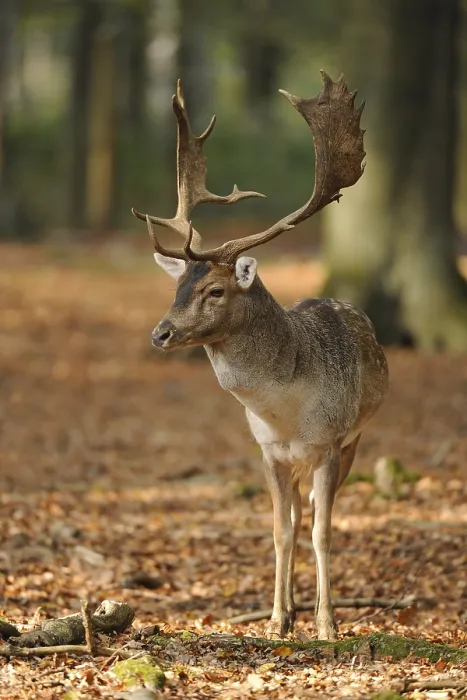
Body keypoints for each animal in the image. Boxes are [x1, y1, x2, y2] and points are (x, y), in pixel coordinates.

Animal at [132, 71, 389, 641]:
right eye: (178, 286)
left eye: (216, 291)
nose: (160, 333)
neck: (286, 411)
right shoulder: (268, 450)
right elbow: (279, 531)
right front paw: (276, 620)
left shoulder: (330, 442)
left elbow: (322, 532)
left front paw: (327, 625)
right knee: (293, 518)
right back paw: (289, 609)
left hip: (356, 438)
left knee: (315, 515)